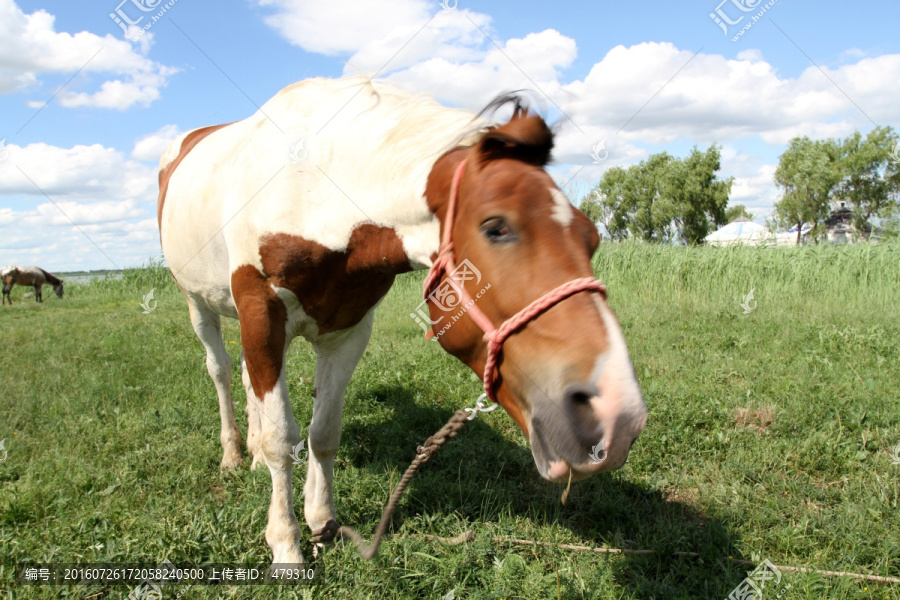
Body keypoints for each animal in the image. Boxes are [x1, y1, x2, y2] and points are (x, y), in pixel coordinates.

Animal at [156, 77, 648, 564]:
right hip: (199, 304)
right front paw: (286, 545)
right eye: (496, 228)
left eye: (591, 236)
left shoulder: (348, 331)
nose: (618, 417)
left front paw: (321, 520)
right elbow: (283, 440)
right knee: (221, 371)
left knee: (245, 377)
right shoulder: (262, 315)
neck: (314, 186)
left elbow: (323, 432)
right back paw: (235, 455)